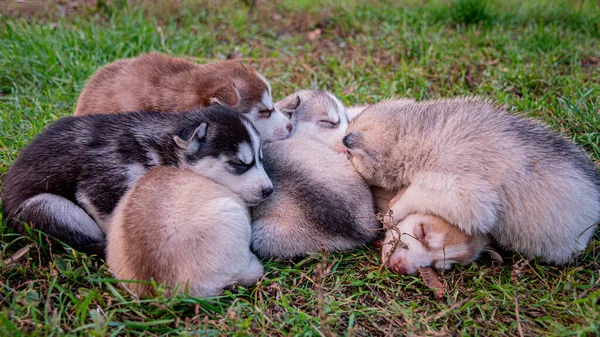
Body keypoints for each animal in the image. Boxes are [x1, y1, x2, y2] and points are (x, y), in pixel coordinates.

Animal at [3, 105, 270, 252]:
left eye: (261, 158)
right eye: (239, 164)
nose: (269, 190)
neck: (158, 149)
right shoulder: (101, 185)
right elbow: (111, 219)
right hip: (49, 207)